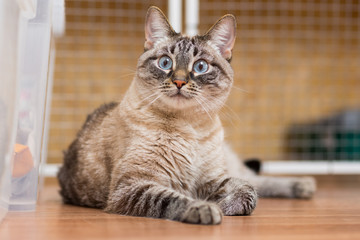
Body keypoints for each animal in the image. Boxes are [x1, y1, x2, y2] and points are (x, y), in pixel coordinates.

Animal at [58, 7, 316, 225]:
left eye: (200, 67)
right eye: (165, 63)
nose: (180, 81)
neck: (189, 128)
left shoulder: (211, 179)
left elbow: (247, 192)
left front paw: (223, 205)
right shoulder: (134, 186)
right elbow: (172, 198)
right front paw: (207, 208)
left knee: (254, 178)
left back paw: (304, 185)